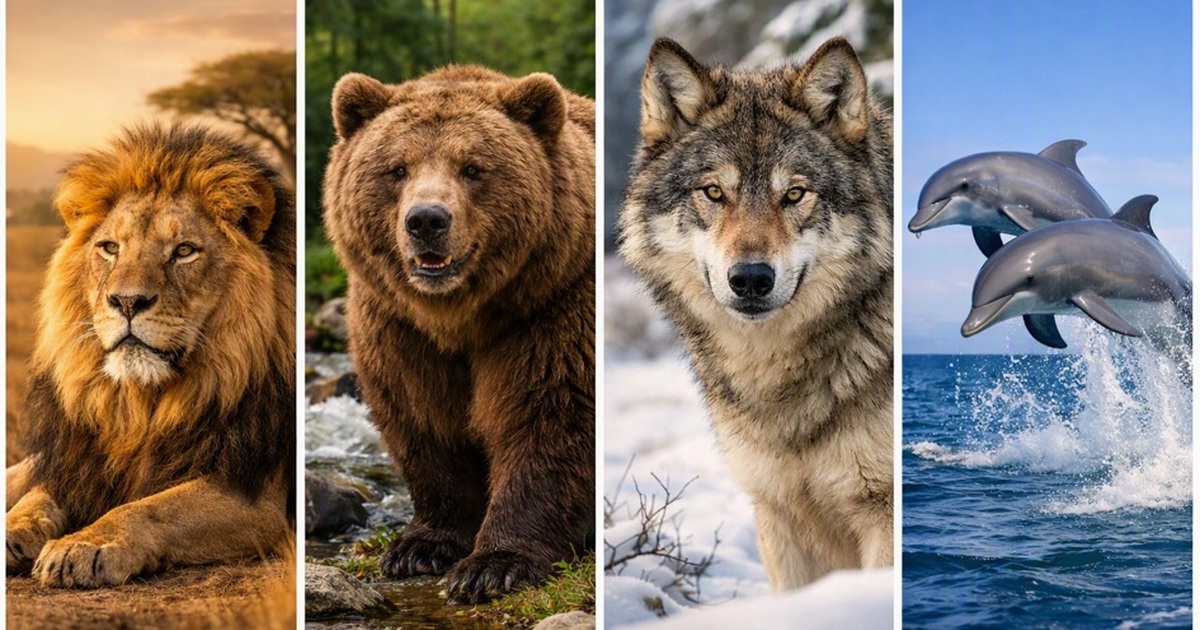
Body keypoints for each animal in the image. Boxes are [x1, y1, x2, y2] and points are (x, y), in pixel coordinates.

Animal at [4, 123, 295, 588]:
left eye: (184, 251)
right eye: (110, 248)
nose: (126, 301)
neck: (141, 407)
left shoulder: (257, 500)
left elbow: (148, 508)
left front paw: (82, 545)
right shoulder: (76, 462)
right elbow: (35, 499)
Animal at [322, 65, 595, 604]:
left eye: (473, 167)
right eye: (397, 168)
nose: (427, 219)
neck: (460, 316)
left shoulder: (553, 311)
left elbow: (550, 418)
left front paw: (493, 565)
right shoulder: (398, 327)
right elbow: (423, 419)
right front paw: (421, 546)